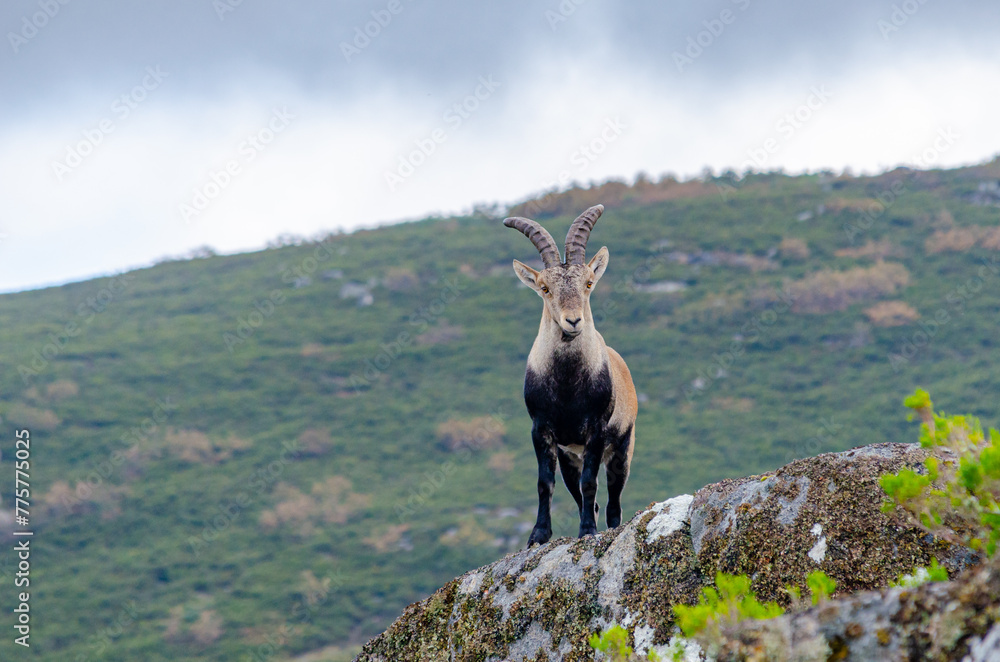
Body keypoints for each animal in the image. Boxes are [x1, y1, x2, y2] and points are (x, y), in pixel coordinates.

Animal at [504, 204, 638, 547]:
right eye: (545, 288)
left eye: (588, 283)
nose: (573, 321)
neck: (566, 386)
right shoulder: (542, 431)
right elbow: (545, 484)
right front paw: (538, 535)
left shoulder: (597, 429)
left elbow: (591, 483)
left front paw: (587, 531)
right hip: (569, 457)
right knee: (579, 494)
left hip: (622, 447)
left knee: (613, 497)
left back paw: (609, 527)